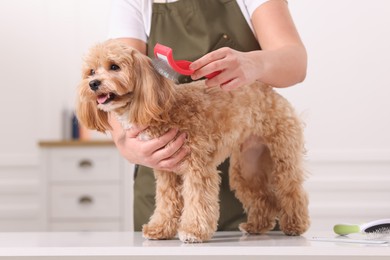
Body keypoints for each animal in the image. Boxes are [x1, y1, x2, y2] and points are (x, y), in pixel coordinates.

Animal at [76, 39, 310, 243]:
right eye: (91, 71)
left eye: (114, 66)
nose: (93, 84)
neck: (162, 108)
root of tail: (269, 92)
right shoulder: (165, 171)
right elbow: (166, 203)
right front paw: (160, 229)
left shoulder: (197, 167)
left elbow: (198, 200)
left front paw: (193, 231)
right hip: (247, 168)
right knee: (264, 197)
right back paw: (256, 226)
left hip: (282, 157)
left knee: (291, 191)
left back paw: (295, 225)